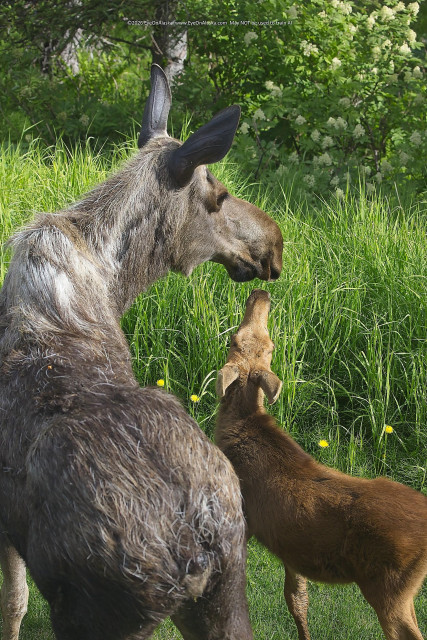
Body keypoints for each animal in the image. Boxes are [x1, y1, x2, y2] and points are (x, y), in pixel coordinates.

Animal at [0, 64, 283, 640]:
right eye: (219, 194)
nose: (276, 243)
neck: (115, 285)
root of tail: (195, 539)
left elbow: (11, 604)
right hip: (224, 594)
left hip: (95, 616)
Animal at [215, 288, 427, 640]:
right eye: (270, 345)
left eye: (233, 339)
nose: (261, 293)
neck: (242, 424)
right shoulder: (289, 545)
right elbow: (297, 598)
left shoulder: (242, 517)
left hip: (388, 587)